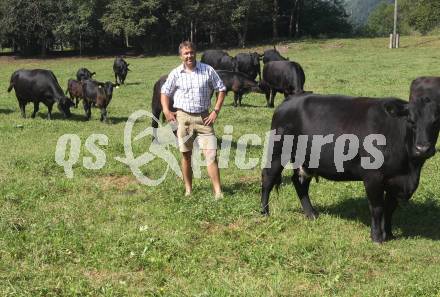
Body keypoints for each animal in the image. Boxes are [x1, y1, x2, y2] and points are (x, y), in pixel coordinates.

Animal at [262, 93, 440, 243]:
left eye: (436, 122)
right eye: (411, 121)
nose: (423, 148)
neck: (410, 169)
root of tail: (291, 99)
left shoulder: (395, 181)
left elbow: (389, 209)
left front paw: (389, 234)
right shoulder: (373, 177)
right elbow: (377, 208)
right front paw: (377, 237)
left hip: (307, 161)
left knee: (300, 183)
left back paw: (311, 214)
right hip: (277, 152)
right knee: (268, 179)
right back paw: (264, 213)